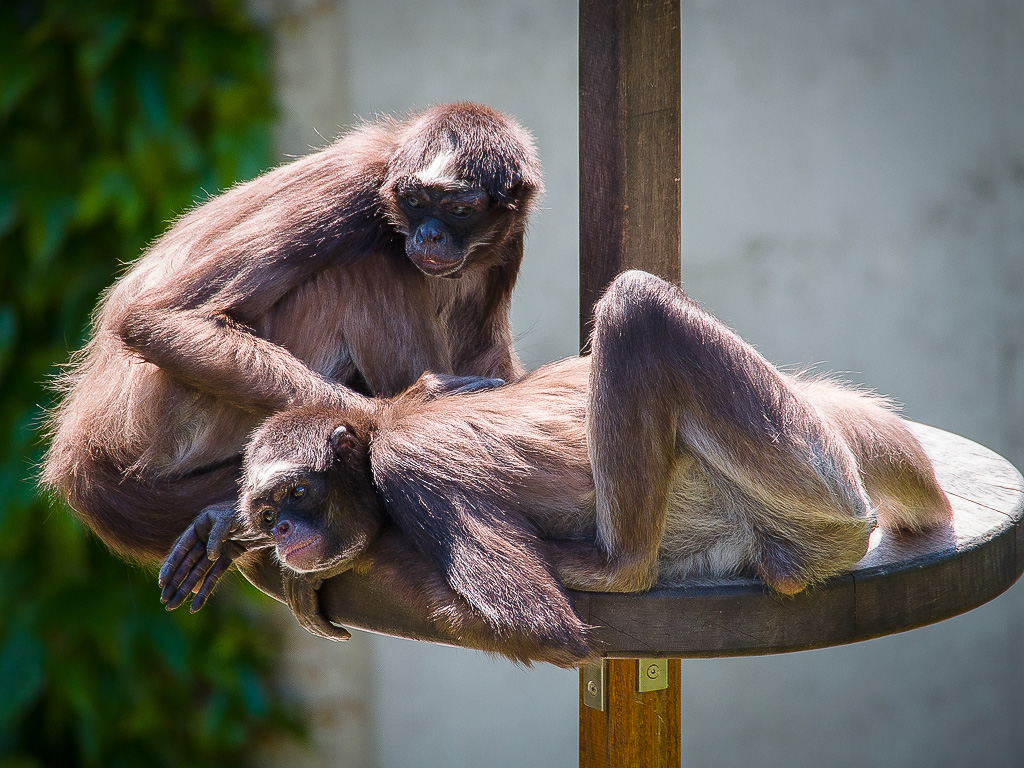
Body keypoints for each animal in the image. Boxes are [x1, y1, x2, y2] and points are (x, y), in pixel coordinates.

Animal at [44, 102, 544, 606]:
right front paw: (408, 407)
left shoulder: (508, 241)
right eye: (415, 203)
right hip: (179, 417)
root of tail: (81, 445)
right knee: (371, 262)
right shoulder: (350, 190)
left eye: (460, 211)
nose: (430, 236)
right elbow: (155, 319)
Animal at [159, 270, 950, 667]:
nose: (284, 533)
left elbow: (538, 627)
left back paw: (616, 565)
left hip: (807, 470)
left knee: (637, 302)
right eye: (271, 511)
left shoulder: (409, 465)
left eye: (299, 492)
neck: (386, 428)